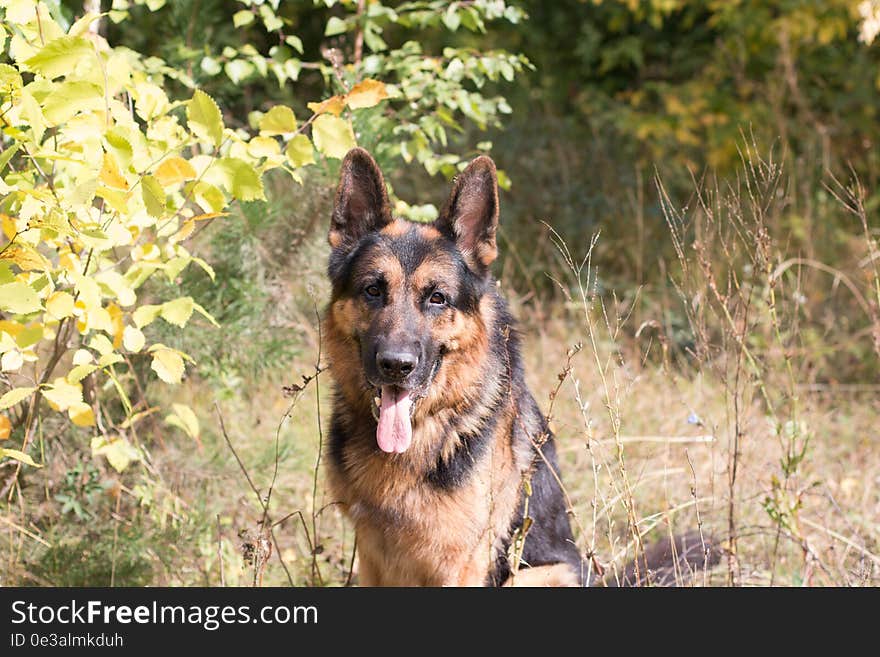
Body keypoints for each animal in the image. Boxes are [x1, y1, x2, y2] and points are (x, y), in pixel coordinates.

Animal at [324, 147, 584, 584]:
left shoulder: (459, 563)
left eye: (437, 298)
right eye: (373, 290)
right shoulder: (372, 557)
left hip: (540, 574)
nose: (396, 365)